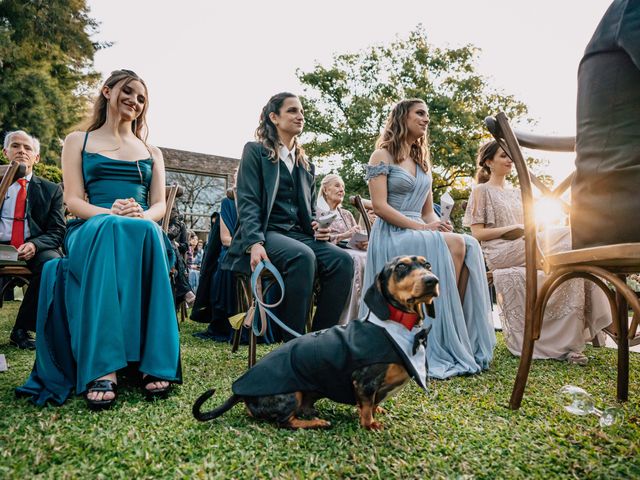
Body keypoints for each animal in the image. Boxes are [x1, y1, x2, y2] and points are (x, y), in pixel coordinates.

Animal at [192, 256, 438, 430]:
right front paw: (370, 424)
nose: (432, 280)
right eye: (400, 267)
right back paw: (316, 423)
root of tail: (240, 392)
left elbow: (374, 403)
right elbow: (367, 407)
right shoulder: (364, 382)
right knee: (284, 422)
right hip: (291, 394)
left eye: (427, 264)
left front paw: (378, 412)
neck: (396, 325)